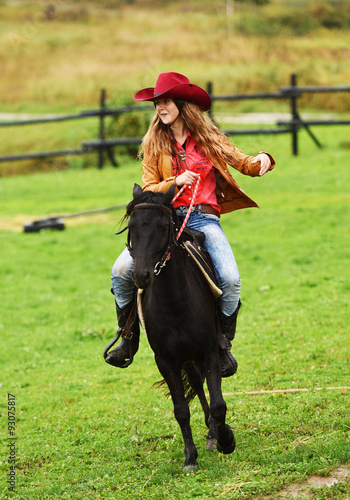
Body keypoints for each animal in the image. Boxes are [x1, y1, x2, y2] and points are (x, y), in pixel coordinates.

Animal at [110, 184, 235, 468]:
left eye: (162, 227)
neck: (174, 302)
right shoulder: (165, 360)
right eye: (132, 226)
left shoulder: (209, 352)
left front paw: (227, 440)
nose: (141, 275)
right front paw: (190, 457)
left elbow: (219, 404)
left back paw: (215, 434)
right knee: (197, 383)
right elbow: (181, 410)